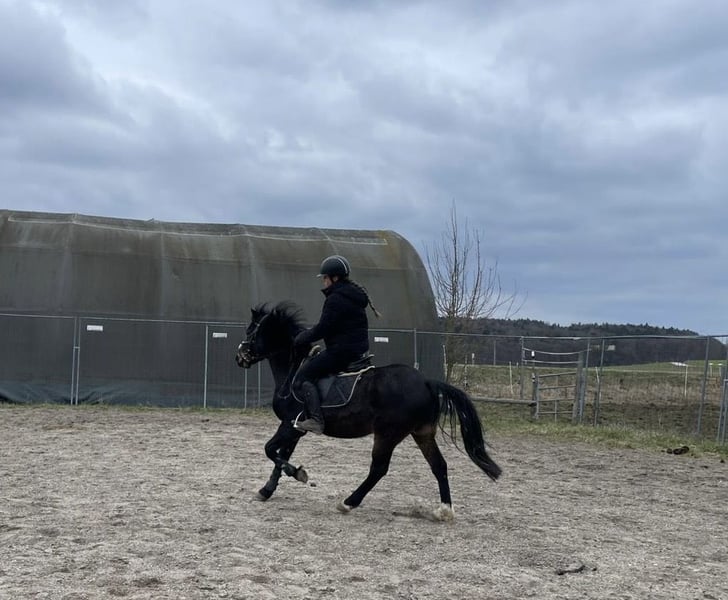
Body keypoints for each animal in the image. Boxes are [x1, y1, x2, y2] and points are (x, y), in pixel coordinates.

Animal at [235, 301, 501, 520]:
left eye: (251, 331)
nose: (240, 357)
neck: (293, 369)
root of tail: (426, 381)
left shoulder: (289, 424)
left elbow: (271, 450)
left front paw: (299, 474)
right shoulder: (296, 428)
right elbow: (281, 456)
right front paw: (266, 490)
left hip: (387, 434)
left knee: (379, 469)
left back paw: (348, 502)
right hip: (422, 433)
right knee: (439, 466)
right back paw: (444, 510)